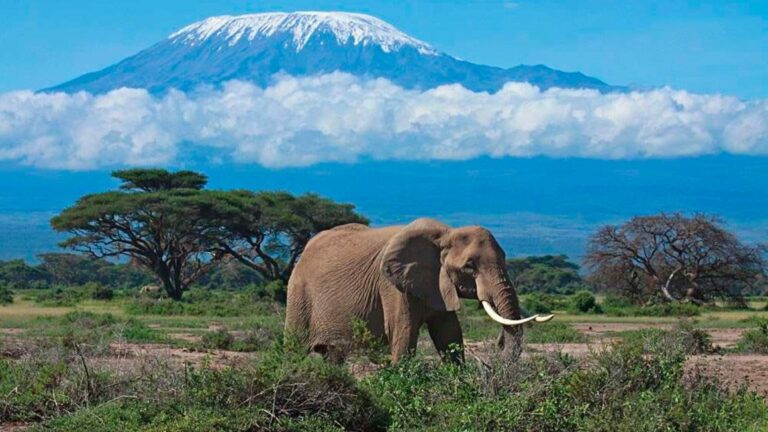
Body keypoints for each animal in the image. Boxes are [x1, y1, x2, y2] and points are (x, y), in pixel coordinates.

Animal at [284, 218, 552, 362]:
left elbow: (449, 335)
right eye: (469, 266)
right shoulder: (391, 286)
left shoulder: (437, 284)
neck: (445, 235)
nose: (498, 343)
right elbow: (403, 336)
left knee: (332, 356)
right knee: (294, 349)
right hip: (298, 293)